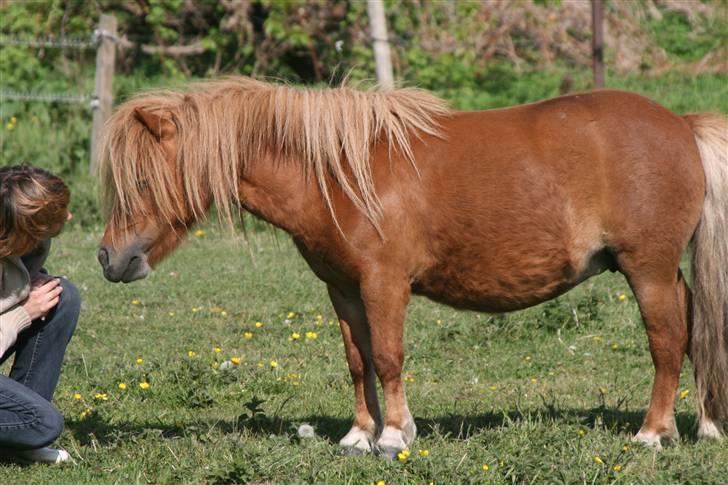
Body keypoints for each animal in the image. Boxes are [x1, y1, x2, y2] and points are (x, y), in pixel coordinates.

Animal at [96, 77, 728, 456]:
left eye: (143, 180)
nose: (109, 258)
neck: (339, 173)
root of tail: (681, 124)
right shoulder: (343, 289)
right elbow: (357, 360)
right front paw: (359, 435)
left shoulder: (385, 283)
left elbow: (388, 357)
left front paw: (396, 435)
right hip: (662, 272)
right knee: (695, 332)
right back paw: (706, 425)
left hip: (646, 269)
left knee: (667, 341)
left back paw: (652, 434)